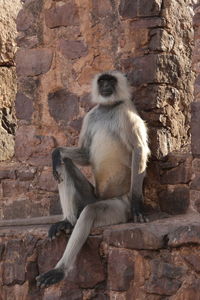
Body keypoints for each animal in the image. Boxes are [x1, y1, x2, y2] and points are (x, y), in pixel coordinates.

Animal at [36, 70, 151, 288]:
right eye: (102, 81)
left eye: (111, 81)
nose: (106, 86)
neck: (108, 108)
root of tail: (100, 197)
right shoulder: (91, 116)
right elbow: (85, 154)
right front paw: (56, 152)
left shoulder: (126, 112)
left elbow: (139, 150)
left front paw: (138, 205)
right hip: (91, 195)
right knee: (64, 164)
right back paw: (68, 221)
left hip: (118, 206)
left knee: (89, 212)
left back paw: (59, 270)